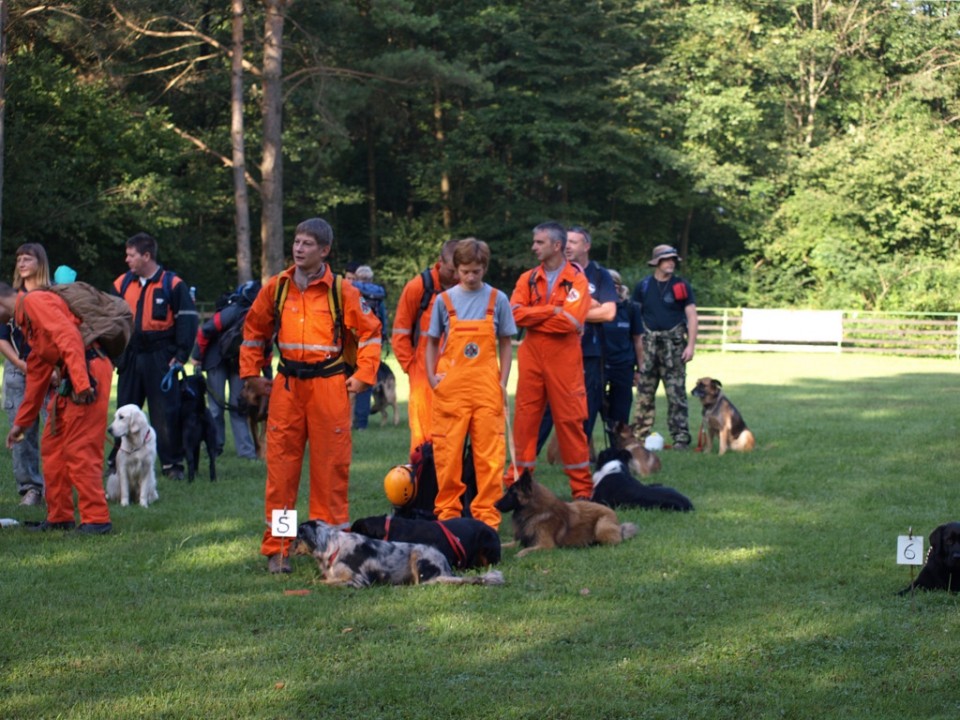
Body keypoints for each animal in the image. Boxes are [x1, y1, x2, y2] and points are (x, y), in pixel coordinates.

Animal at [496, 470, 636, 560]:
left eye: (511, 493)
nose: (495, 504)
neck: (535, 512)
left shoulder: (546, 545)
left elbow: (525, 550)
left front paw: (518, 555)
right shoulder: (519, 541)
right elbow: (503, 545)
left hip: (601, 526)